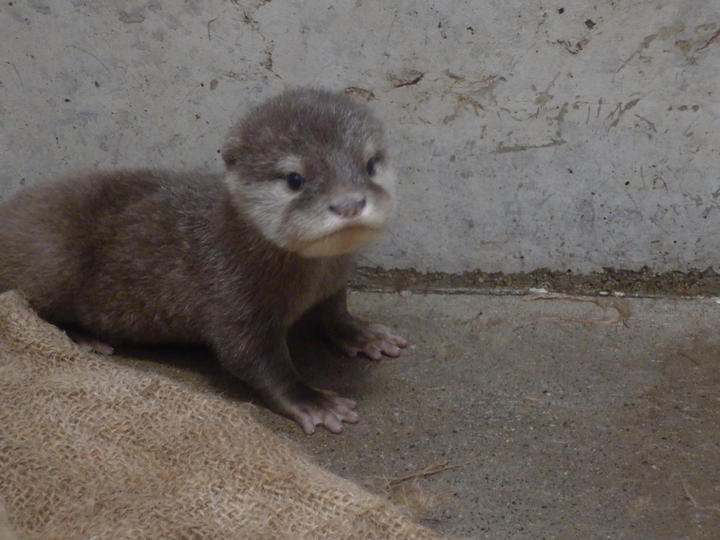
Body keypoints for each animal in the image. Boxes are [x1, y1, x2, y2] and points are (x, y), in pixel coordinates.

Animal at [0, 87, 404, 434]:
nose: (348, 204)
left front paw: (363, 333)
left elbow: (335, 310)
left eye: (369, 165)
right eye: (294, 179)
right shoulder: (230, 294)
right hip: (52, 257)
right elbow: (251, 358)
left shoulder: (334, 280)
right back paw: (86, 339)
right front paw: (314, 402)